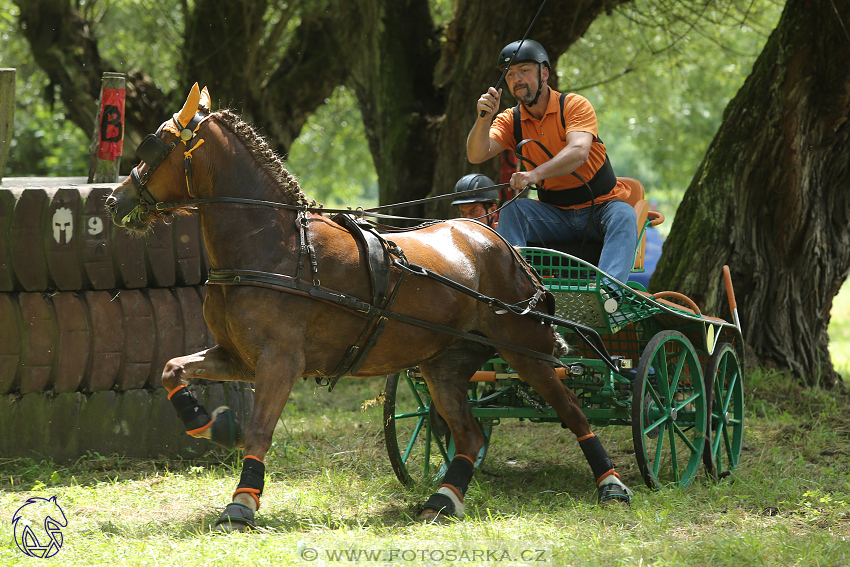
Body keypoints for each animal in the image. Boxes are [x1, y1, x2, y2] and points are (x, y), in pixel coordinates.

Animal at [106, 84, 628, 532]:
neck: (275, 246)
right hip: (444, 365)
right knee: (469, 434)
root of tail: (499, 242)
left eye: (156, 145)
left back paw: (612, 485)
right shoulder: (237, 358)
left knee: (572, 411)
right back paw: (444, 499)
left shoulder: (280, 362)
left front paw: (242, 502)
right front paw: (212, 424)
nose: (114, 200)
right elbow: (173, 370)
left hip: (525, 350)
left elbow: (259, 431)